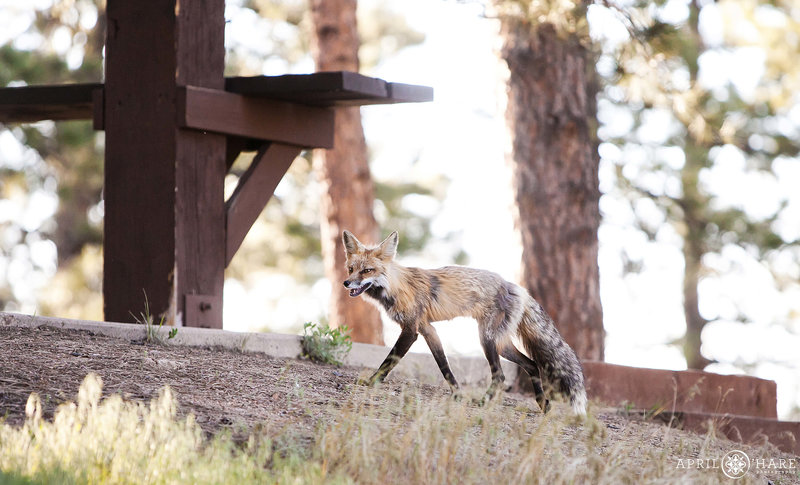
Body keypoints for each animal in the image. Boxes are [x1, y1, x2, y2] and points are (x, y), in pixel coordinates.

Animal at [342, 229, 588, 414]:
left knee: (500, 376)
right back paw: (543, 405)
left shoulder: (411, 329)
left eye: (367, 271)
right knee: (532, 365)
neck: (397, 287)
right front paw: (457, 394)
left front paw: (372, 382)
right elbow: (444, 367)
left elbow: (389, 361)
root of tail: (515, 286)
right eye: (351, 269)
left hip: (487, 339)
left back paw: (484, 402)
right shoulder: (428, 329)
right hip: (501, 343)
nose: (346, 283)